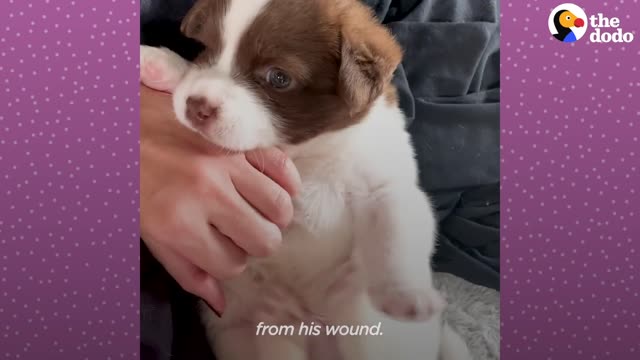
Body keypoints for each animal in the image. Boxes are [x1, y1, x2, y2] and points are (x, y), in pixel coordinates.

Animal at [140, 0, 472, 358]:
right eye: (206, 49)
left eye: (278, 77)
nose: (197, 106)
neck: (304, 155)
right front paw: (161, 64)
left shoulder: (382, 184)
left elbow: (395, 232)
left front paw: (406, 294)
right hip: (245, 333)